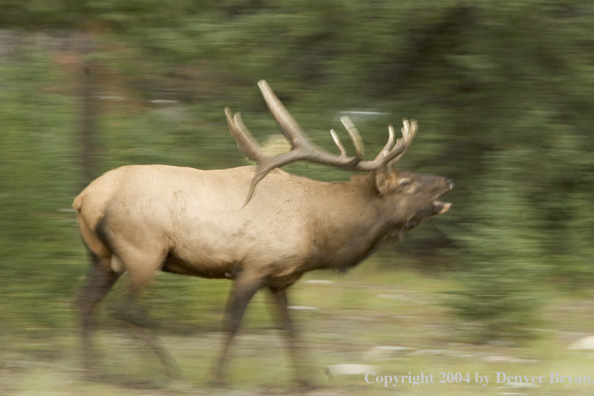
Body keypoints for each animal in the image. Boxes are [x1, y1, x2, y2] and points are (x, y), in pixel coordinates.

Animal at [75, 79, 454, 386]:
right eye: (405, 183)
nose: (447, 181)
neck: (318, 232)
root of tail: (85, 198)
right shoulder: (252, 266)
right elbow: (231, 322)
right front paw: (216, 378)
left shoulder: (279, 278)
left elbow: (290, 328)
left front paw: (306, 380)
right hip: (144, 250)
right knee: (126, 309)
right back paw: (168, 372)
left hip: (102, 257)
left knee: (83, 302)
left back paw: (94, 370)